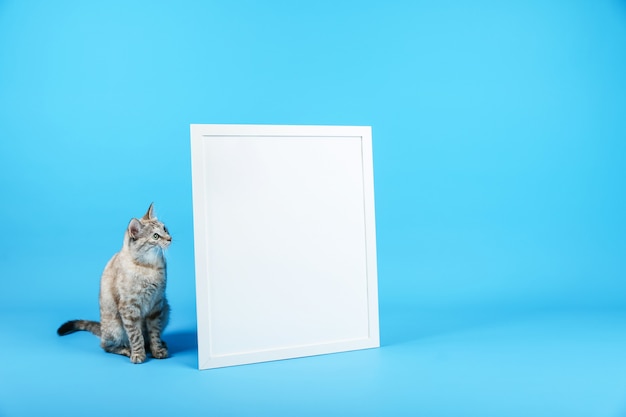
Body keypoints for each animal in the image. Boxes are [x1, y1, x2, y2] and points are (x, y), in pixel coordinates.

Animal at [57, 203, 172, 362]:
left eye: (165, 229)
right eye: (155, 236)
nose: (170, 238)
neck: (150, 267)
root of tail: (102, 328)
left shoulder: (156, 305)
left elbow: (154, 332)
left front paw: (157, 350)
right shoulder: (129, 308)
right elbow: (136, 335)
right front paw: (138, 355)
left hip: (166, 308)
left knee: (148, 339)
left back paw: (159, 344)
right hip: (116, 327)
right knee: (106, 345)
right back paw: (127, 350)